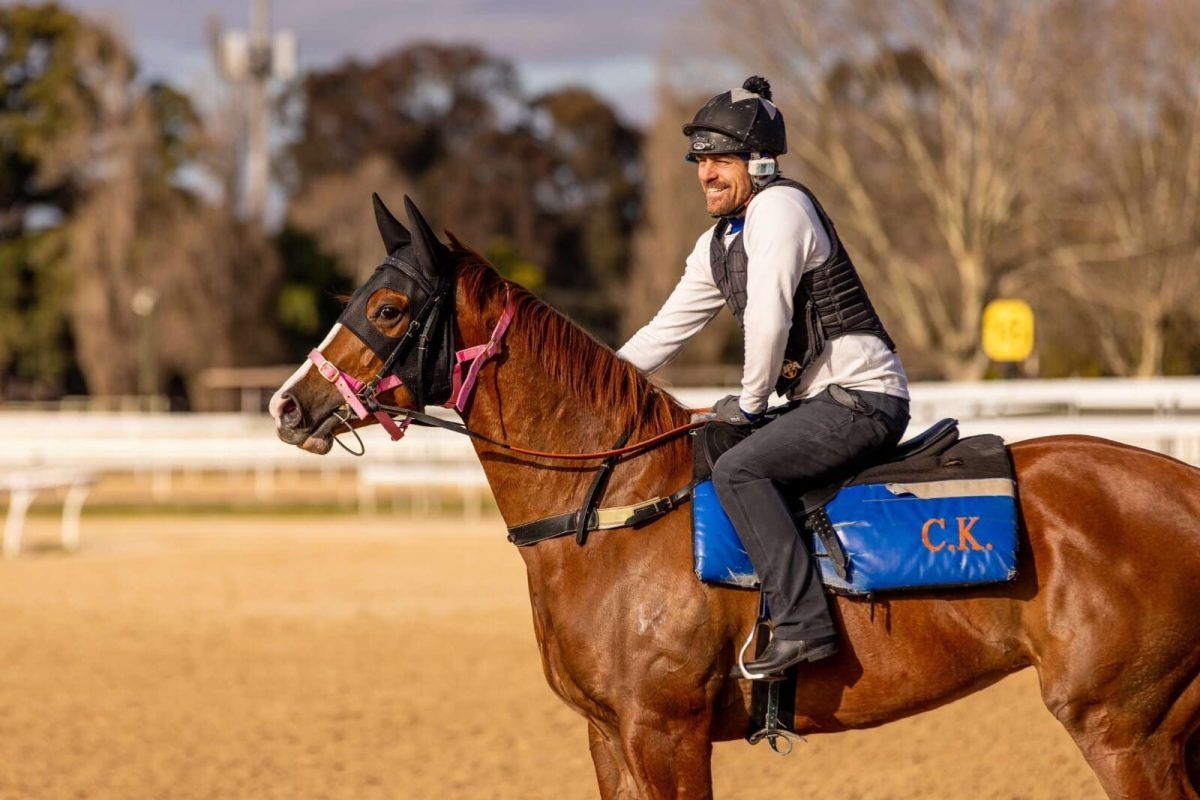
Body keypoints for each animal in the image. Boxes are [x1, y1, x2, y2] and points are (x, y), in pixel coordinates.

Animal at [267, 195, 1200, 800]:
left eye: (391, 305)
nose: (289, 406)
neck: (613, 514)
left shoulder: (665, 735)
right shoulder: (610, 738)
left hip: (1124, 729)